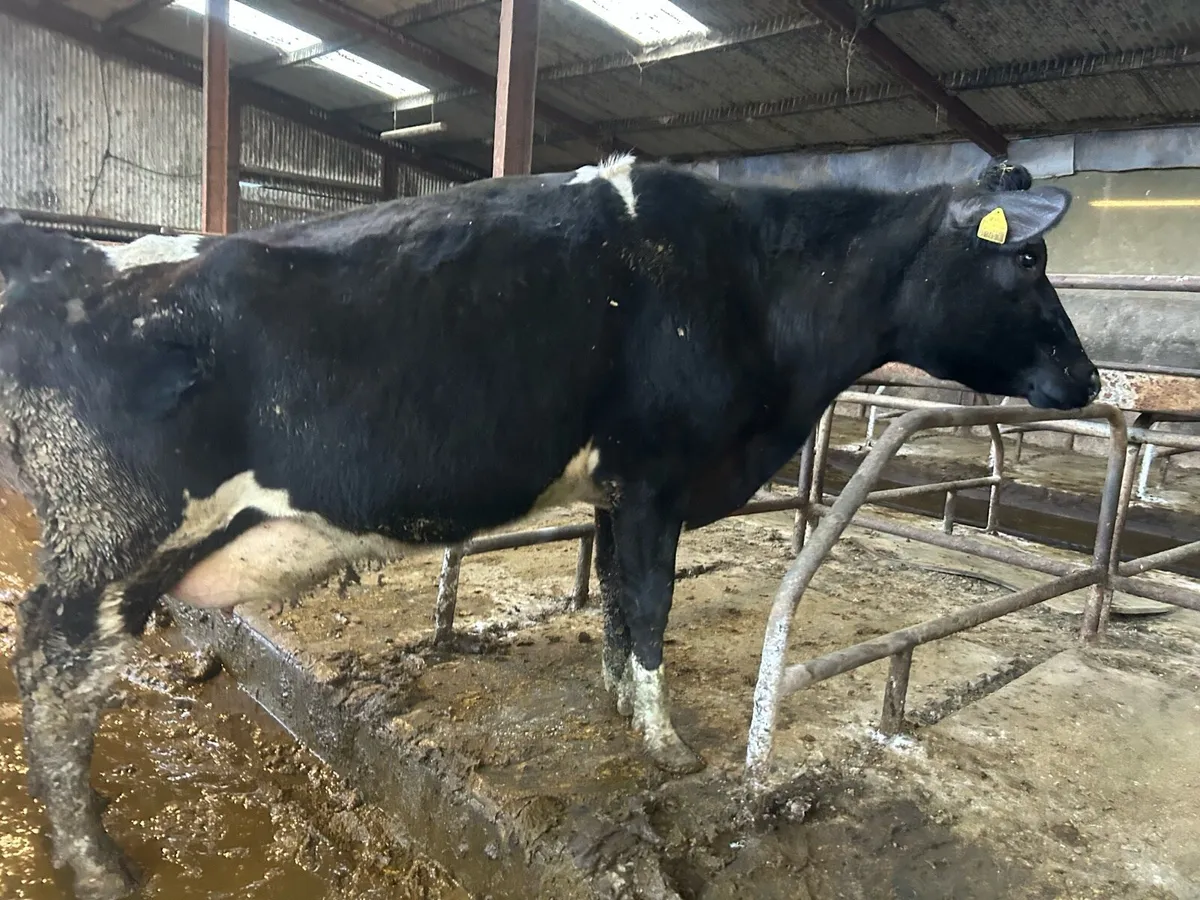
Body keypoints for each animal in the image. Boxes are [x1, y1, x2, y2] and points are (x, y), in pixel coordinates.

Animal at [0, 155, 1099, 899]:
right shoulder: (657, 471)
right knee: (55, 674)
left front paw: (618, 701)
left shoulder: (620, 489)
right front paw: (666, 746)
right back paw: (96, 861)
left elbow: (615, 599)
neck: (755, 287)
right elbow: (650, 604)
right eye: (1028, 257)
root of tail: (68, 264)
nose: (1089, 379)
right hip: (109, 538)